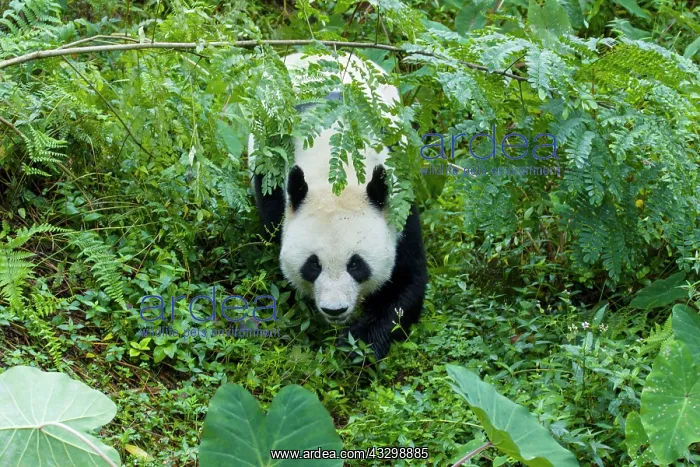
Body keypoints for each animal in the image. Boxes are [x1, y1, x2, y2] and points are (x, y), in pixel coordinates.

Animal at [249, 52, 428, 360]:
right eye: (313, 265)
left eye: (356, 264)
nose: (335, 309)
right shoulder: (278, 184)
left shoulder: (398, 201)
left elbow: (407, 281)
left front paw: (358, 343)